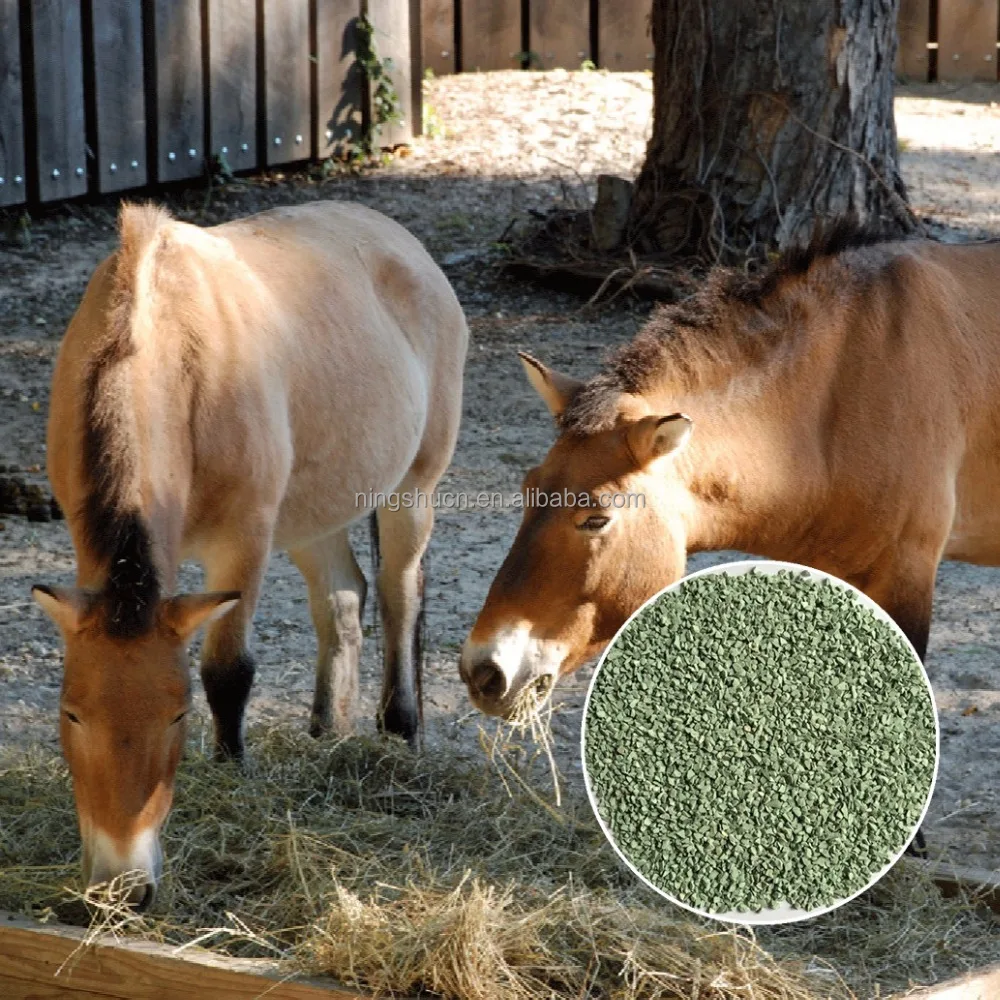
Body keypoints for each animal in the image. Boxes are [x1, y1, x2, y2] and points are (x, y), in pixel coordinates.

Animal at [32, 200, 468, 907]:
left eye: (177, 715)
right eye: (72, 712)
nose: (124, 886)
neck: (168, 346)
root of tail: (403, 242)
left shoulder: (244, 541)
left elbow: (227, 672)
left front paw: (231, 771)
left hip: (410, 489)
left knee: (400, 593)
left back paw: (400, 728)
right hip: (313, 517)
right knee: (344, 598)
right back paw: (326, 730)